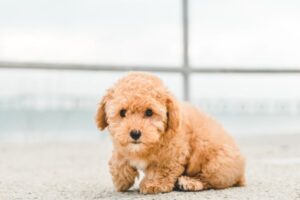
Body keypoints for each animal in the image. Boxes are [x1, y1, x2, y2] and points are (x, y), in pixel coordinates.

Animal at [96, 72, 246, 194]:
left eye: (149, 112)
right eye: (122, 112)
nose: (135, 133)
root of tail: (241, 174)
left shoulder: (173, 153)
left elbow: (162, 169)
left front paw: (154, 184)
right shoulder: (123, 142)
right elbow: (118, 157)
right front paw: (121, 178)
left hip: (217, 164)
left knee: (209, 181)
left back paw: (190, 182)